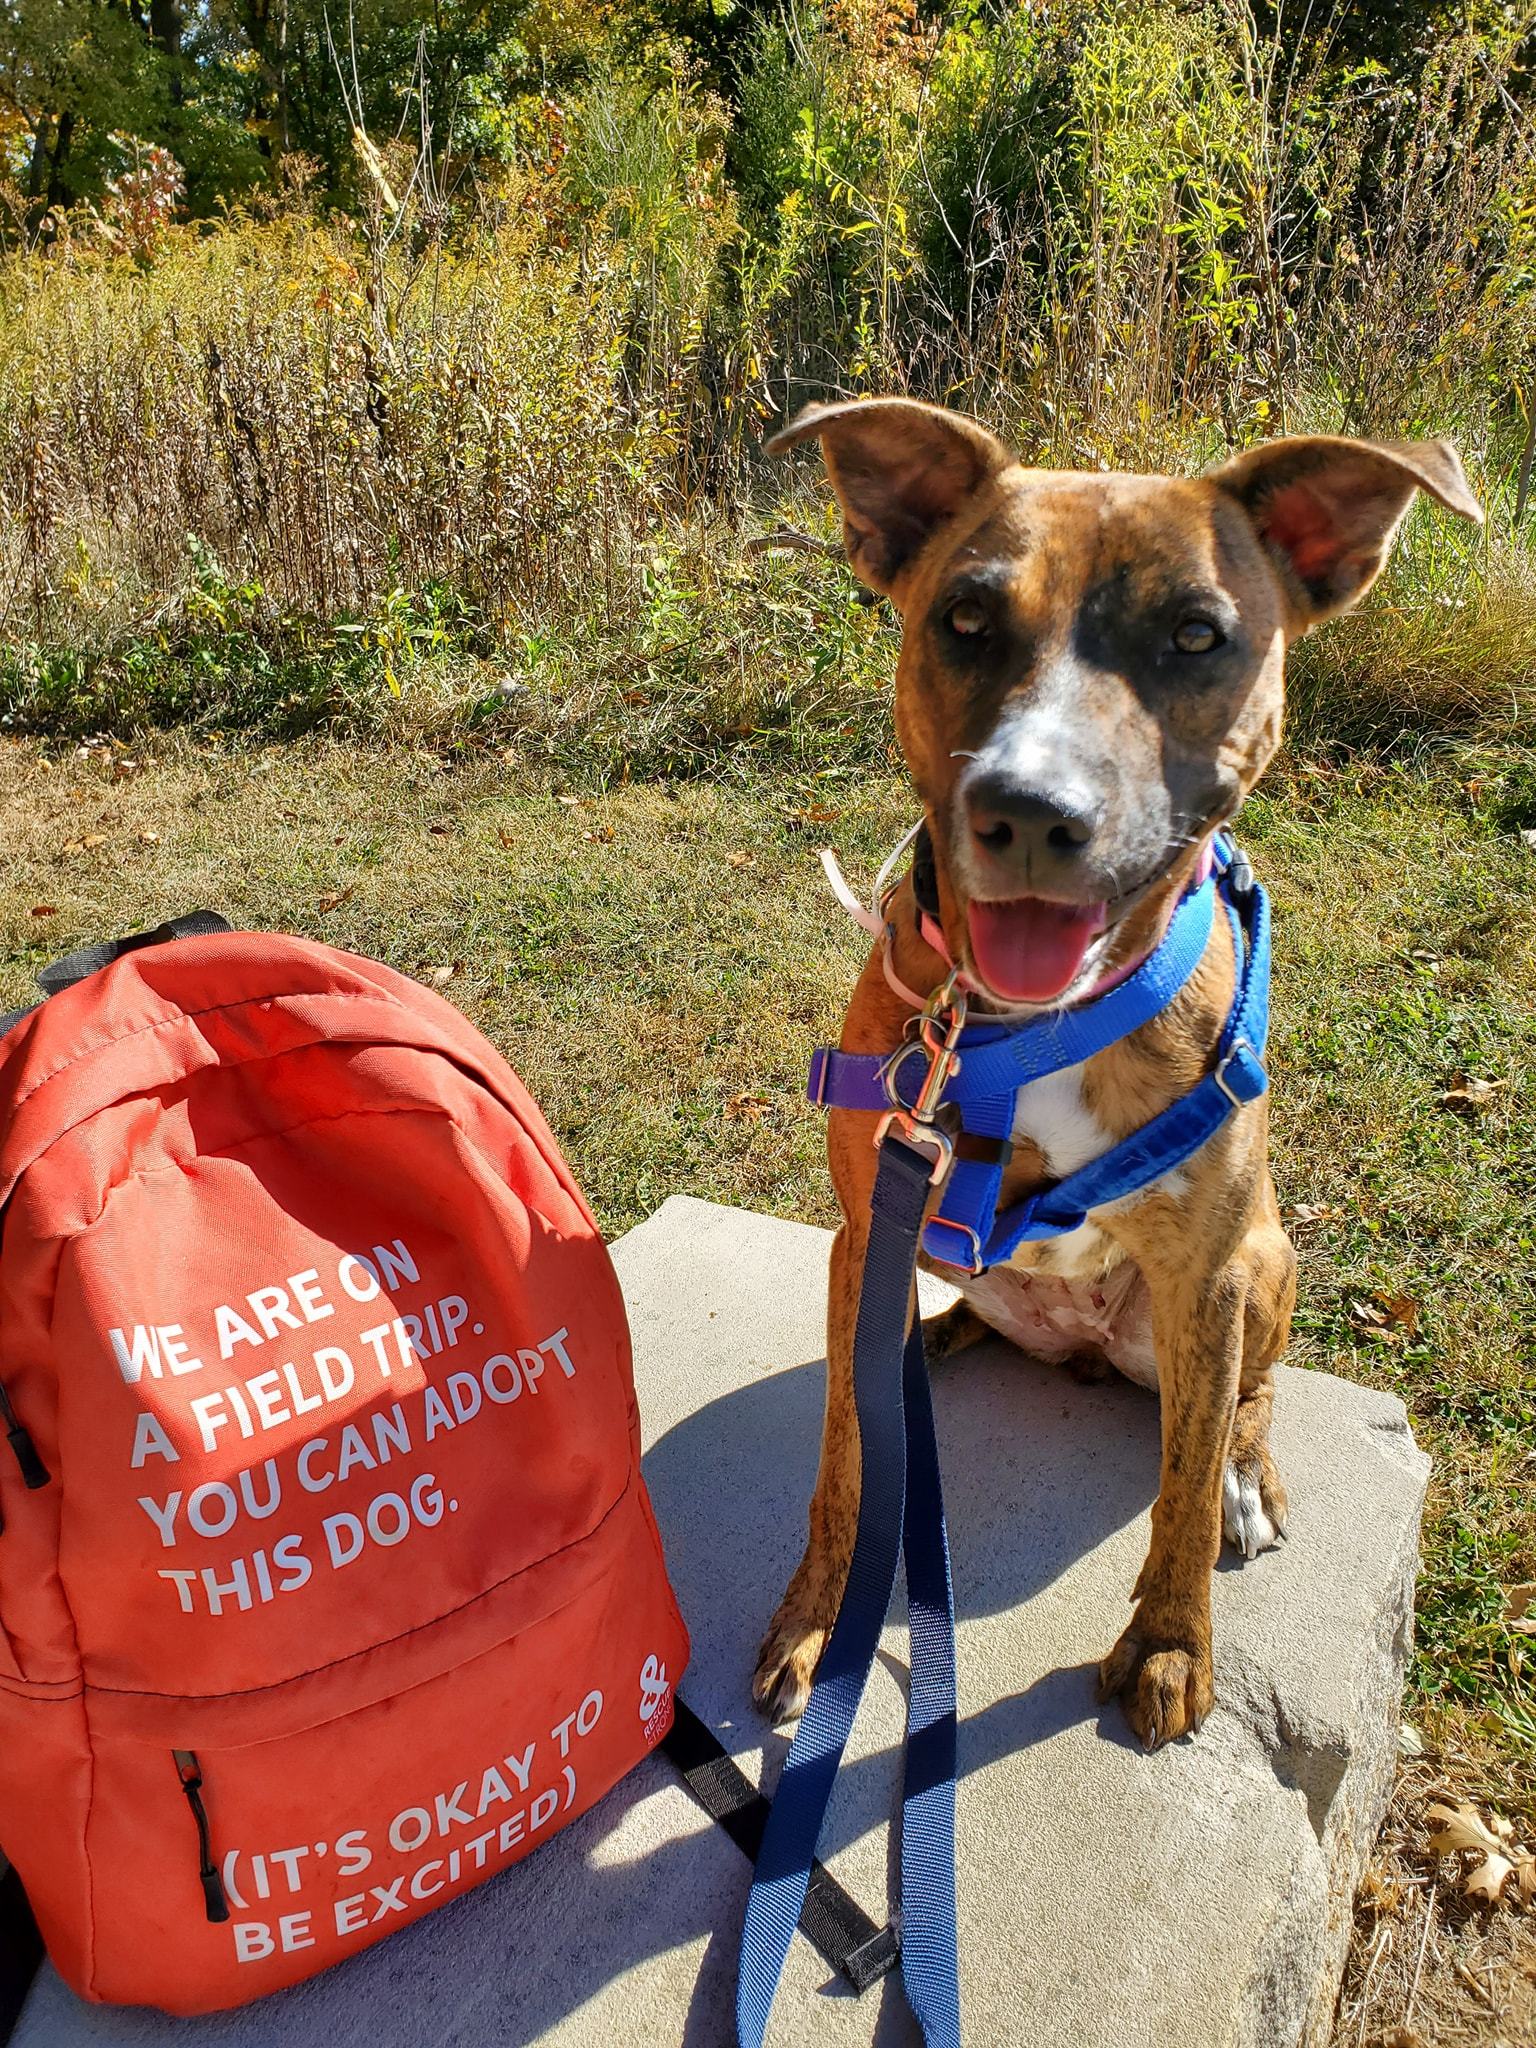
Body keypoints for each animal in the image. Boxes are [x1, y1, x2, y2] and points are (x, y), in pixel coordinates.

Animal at [753, 399, 1482, 1744]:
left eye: (1197, 634)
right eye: (965, 617)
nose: (1032, 811)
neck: (1023, 1023)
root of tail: (1086, 1347)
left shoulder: (1205, 1269)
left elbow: (1181, 1492)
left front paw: (1170, 1643)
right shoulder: (860, 1228)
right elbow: (845, 1458)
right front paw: (817, 1621)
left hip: (1262, 1263)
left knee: (1244, 1399)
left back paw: (1248, 1471)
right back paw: (937, 1336)